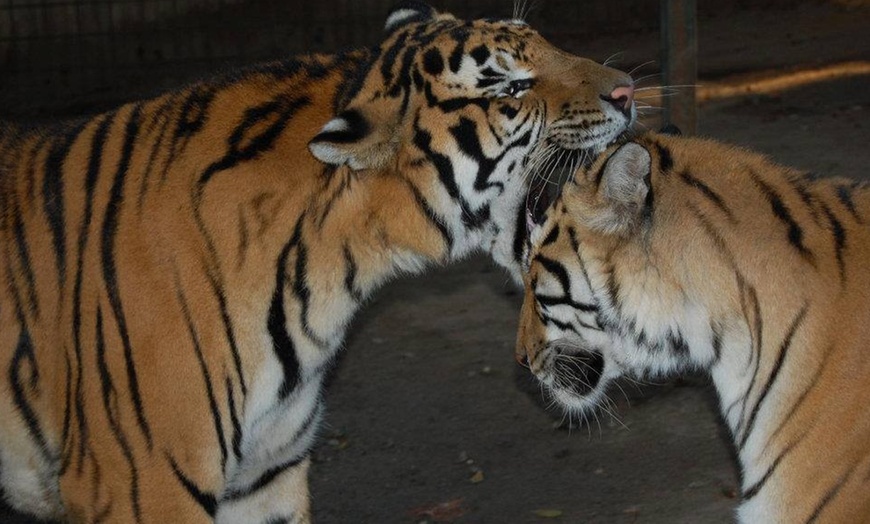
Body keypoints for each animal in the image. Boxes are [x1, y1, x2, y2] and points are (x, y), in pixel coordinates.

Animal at [0, 2, 640, 520]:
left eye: (547, 44)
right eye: (509, 90)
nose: (629, 91)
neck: (330, 275)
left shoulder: (263, 476)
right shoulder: (145, 483)